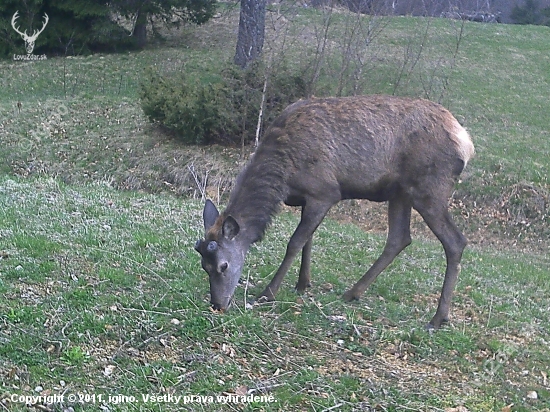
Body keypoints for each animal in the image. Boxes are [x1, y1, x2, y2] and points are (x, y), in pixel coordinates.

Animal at [196, 95, 476, 330]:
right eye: (204, 266)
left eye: (223, 265)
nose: (217, 304)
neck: (283, 175)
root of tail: (466, 141)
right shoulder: (307, 199)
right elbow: (308, 241)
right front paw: (302, 283)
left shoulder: (324, 192)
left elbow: (295, 242)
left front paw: (269, 292)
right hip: (400, 193)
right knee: (399, 238)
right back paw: (353, 293)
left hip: (428, 189)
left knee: (455, 241)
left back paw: (438, 318)